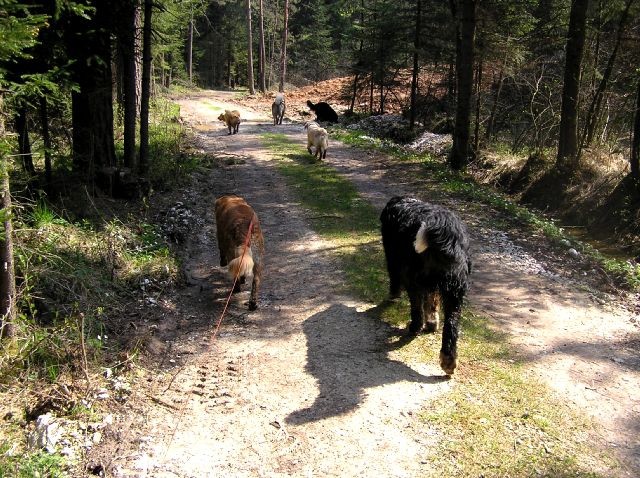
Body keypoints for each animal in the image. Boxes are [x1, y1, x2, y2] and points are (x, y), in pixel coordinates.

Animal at [380, 196, 470, 376]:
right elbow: (432, 301)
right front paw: (433, 323)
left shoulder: (393, 260)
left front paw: (393, 296)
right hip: (455, 292)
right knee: (451, 325)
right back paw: (448, 361)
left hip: (413, 277)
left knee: (416, 307)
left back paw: (415, 327)